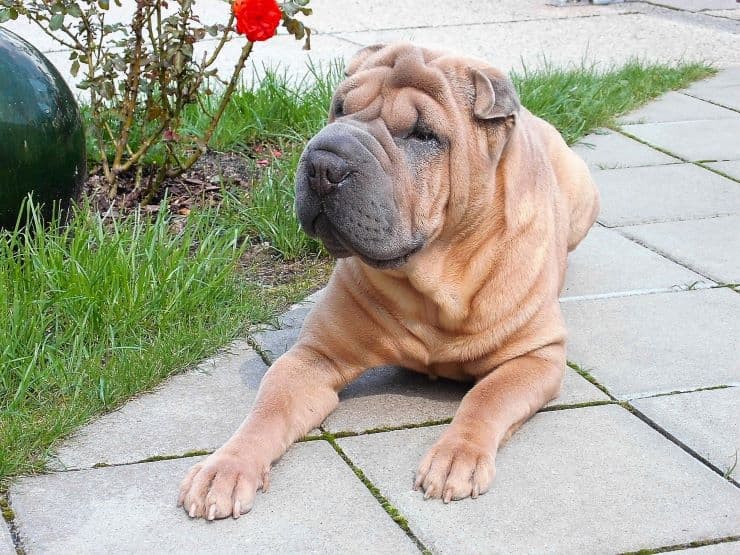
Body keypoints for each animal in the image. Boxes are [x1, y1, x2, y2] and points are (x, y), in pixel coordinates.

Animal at [179, 43, 600, 520]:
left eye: (422, 135)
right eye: (339, 109)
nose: (323, 162)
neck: (433, 280)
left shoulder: (536, 356)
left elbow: (486, 397)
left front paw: (456, 456)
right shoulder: (314, 356)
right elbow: (269, 408)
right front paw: (225, 468)